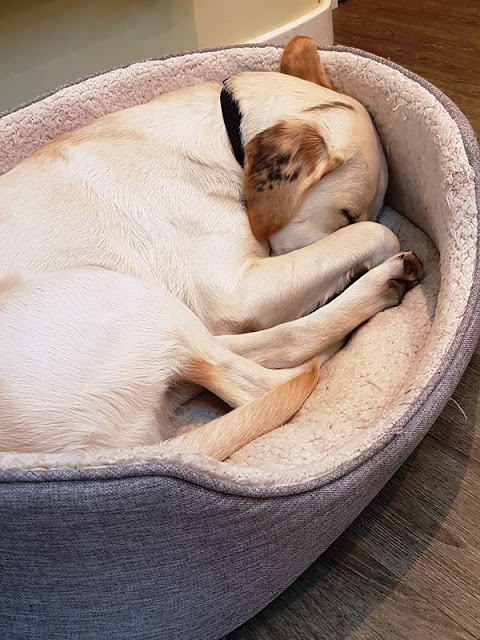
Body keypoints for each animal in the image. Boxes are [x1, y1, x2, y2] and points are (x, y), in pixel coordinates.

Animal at [0, 36, 420, 460]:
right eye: (347, 215)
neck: (229, 139)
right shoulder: (236, 291)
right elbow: (378, 234)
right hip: (128, 299)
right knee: (274, 371)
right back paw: (378, 287)